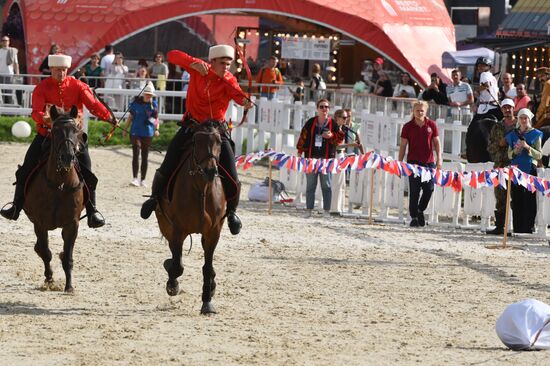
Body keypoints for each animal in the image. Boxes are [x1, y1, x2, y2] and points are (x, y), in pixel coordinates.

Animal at [24, 105, 85, 292]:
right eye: (55, 130)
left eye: (75, 130)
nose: (68, 157)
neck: (60, 184)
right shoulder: (40, 224)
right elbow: (46, 252)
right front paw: (49, 279)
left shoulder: (72, 225)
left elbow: (68, 257)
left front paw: (69, 286)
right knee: (41, 248)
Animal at [155, 121, 226, 314]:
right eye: (196, 141)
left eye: (219, 142)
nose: (210, 170)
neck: (201, 189)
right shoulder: (177, 230)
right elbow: (177, 266)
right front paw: (172, 285)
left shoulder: (213, 233)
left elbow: (207, 268)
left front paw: (207, 303)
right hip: (167, 226)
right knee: (175, 256)